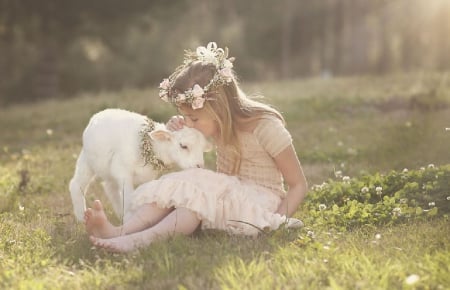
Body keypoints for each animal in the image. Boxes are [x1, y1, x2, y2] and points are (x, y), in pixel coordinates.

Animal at [70, 109, 211, 222]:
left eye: (202, 149)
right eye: (183, 146)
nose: (199, 166)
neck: (150, 146)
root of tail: (97, 116)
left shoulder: (147, 176)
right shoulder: (123, 172)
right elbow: (128, 198)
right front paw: (130, 219)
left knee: (110, 188)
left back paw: (120, 215)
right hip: (87, 160)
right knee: (76, 185)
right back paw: (81, 218)